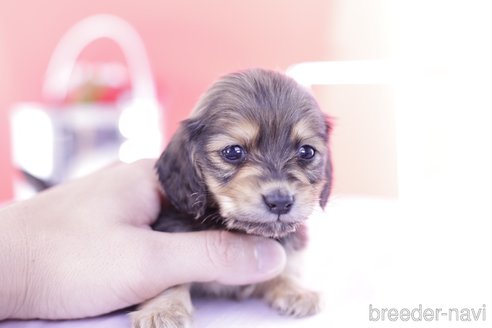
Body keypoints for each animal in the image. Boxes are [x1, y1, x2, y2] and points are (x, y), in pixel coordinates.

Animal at [131, 68, 332, 326]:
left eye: (307, 151)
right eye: (233, 151)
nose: (280, 202)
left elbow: (286, 265)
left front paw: (296, 290)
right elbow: (170, 278)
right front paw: (163, 310)